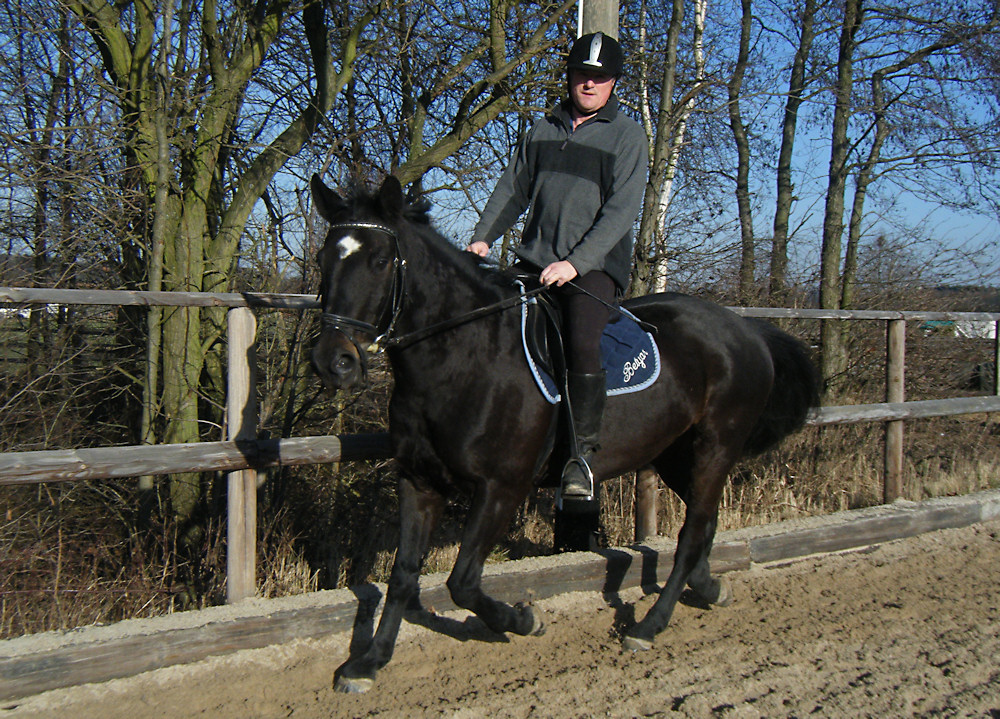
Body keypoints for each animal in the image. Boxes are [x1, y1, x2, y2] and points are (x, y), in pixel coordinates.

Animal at [312, 173, 820, 692]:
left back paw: (649, 626)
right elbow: (403, 575)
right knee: (706, 523)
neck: (463, 357)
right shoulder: (418, 481)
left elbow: (463, 582)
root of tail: (747, 330)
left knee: (692, 531)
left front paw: (523, 619)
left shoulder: (501, 487)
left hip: (715, 447)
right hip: (678, 455)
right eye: (322, 260)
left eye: (379, 261)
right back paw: (710, 588)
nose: (334, 362)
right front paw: (368, 663)